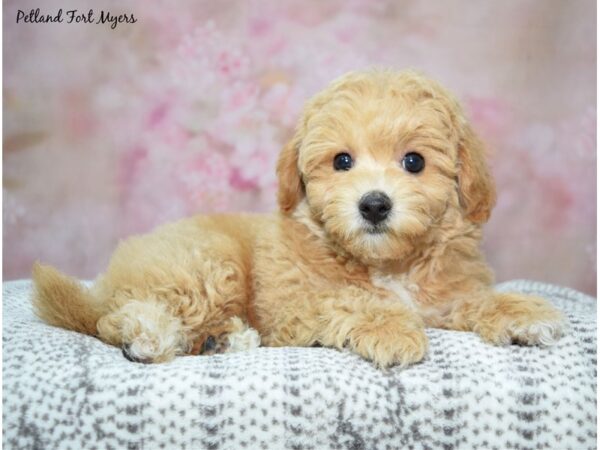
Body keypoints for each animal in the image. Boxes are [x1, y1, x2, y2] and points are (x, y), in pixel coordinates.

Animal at [32, 69, 568, 366]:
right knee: (114, 319)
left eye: (414, 161)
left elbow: (471, 299)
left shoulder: (445, 293)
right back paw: (150, 336)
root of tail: (107, 280)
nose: (374, 204)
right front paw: (392, 330)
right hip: (208, 263)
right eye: (342, 161)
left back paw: (221, 341)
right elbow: (351, 300)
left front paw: (521, 312)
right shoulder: (295, 306)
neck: (386, 265)